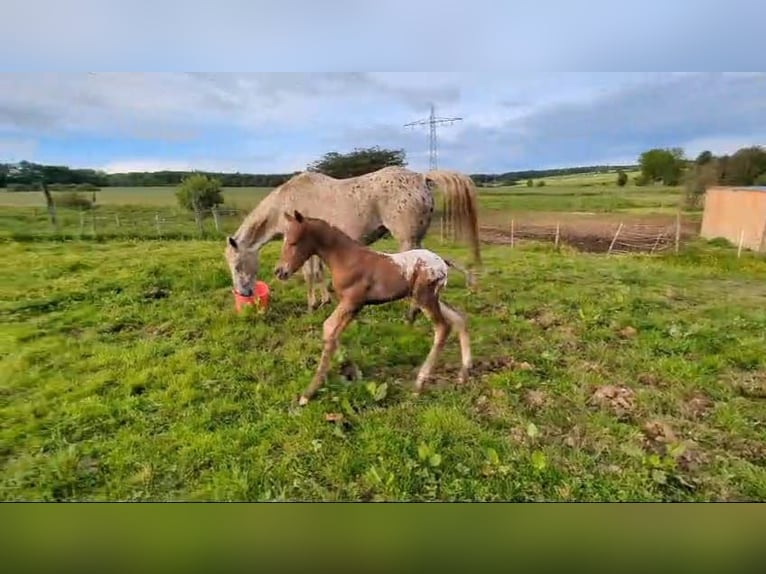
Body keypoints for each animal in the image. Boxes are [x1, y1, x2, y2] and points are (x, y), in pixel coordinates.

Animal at [225, 166, 484, 312]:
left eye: (237, 266)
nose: (243, 294)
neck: (283, 206)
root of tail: (422, 178)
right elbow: (318, 273)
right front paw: (323, 301)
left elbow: (309, 274)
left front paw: (312, 305)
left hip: (407, 240)